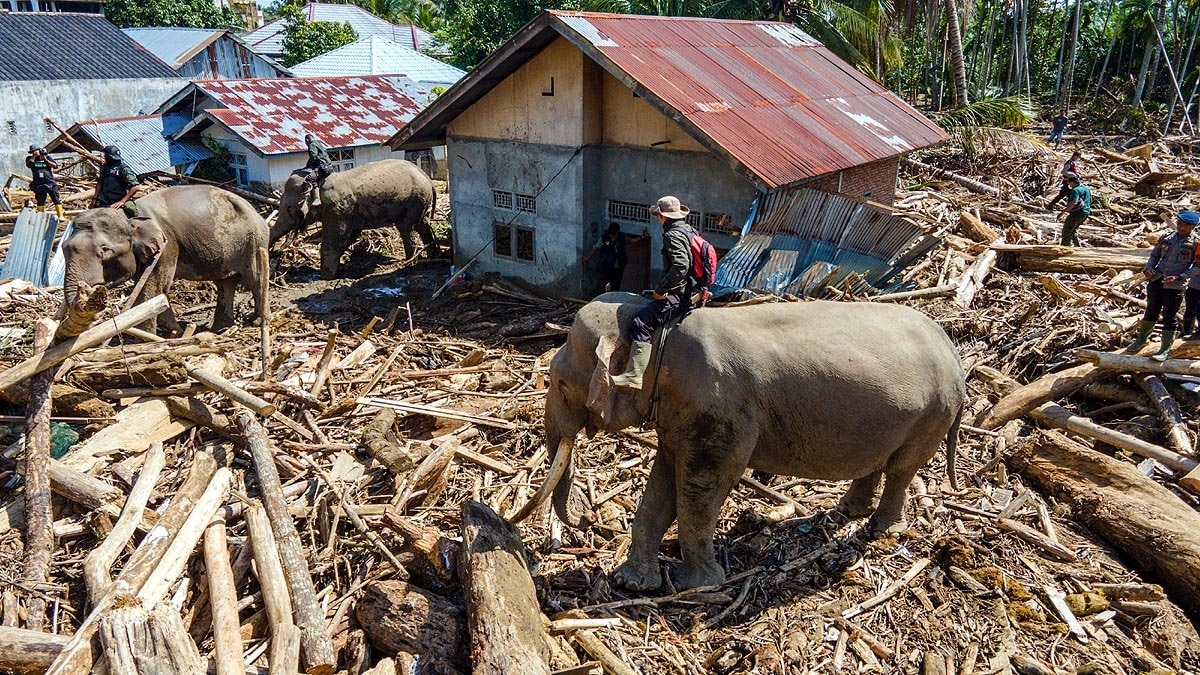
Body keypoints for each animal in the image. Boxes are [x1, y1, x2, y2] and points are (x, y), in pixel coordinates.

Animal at [61, 185, 270, 336]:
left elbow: (154, 289)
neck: (130, 217)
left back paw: (257, 322)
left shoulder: (166, 246)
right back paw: (220, 329)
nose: (86, 289)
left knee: (254, 278)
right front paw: (174, 333)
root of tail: (256, 210)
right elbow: (153, 291)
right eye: (63, 247)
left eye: (105, 251)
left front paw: (147, 339)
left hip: (254, 240)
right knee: (226, 282)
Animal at [269, 159, 440, 279]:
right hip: (420, 202)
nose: (274, 252)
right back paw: (432, 256)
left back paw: (409, 263)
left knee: (406, 228)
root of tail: (428, 178)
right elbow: (351, 235)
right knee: (422, 225)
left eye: (289, 208)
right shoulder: (346, 212)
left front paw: (325, 276)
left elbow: (336, 237)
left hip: (414, 199)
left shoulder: (337, 209)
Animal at [512, 293, 965, 592]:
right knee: (878, 461)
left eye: (559, 383)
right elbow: (662, 483)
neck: (661, 332)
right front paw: (635, 584)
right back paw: (849, 510)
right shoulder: (679, 416)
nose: (589, 521)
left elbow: (701, 485)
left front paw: (699, 586)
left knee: (902, 467)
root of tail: (953, 349)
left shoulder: (721, 414)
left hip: (931, 415)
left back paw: (883, 529)